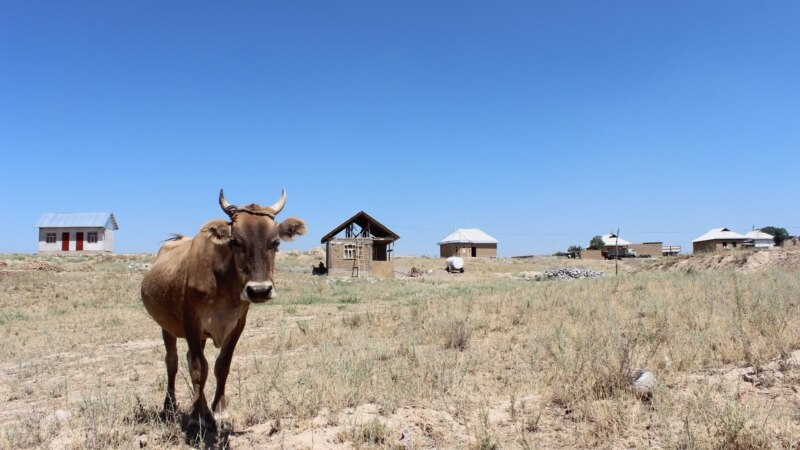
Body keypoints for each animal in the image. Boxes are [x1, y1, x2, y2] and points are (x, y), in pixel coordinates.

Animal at [141, 188, 306, 430]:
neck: (224, 282)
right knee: (172, 362)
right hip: (167, 327)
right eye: (235, 241)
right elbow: (199, 368)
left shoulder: (237, 324)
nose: (259, 290)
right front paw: (196, 417)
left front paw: (219, 410)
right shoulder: (191, 322)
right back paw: (170, 406)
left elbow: (221, 366)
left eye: (275, 242)